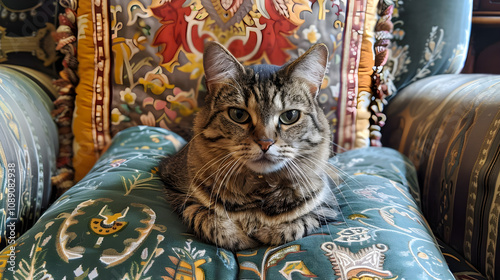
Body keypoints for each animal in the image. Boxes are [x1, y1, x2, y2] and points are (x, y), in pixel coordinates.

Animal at [160, 41, 340, 249]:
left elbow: (299, 223)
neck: (259, 187)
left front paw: (268, 232)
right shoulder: (173, 186)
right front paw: (236, 236)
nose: (265, 143)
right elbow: (202, 216)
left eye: (290, 116)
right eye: (238, 115)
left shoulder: (329, 205)